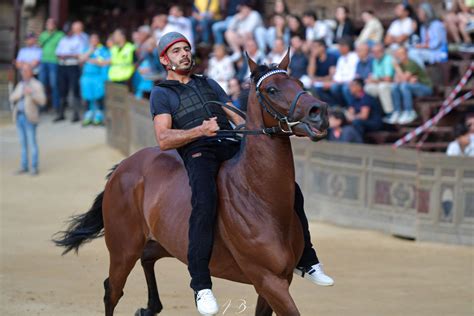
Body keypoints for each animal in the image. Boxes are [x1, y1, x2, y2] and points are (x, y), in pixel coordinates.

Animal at [53, 51, 330, 316]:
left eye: (299, 83)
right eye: (272, 89)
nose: (319, 112)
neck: (259, 199)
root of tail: (122, 167)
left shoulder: (278, 280)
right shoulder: (267, 279)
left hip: (165, 241)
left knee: (147, 257)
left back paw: (150, 307)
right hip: (123, 249)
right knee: (112, 290)